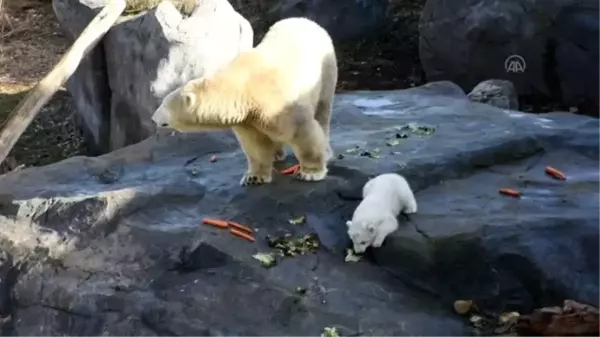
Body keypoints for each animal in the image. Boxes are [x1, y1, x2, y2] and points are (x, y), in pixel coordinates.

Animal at [151, 17, 338, 185]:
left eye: (163, 104)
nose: (153, 118)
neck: (242, 90)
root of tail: (307, 21)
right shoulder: (247, 119)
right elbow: (255, 145)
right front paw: (254, 177)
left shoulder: (277, 103)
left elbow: (301, 131)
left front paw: (310, 173)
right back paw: (277, 154)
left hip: (325, 71)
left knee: (323, 111)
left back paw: (326, 150)